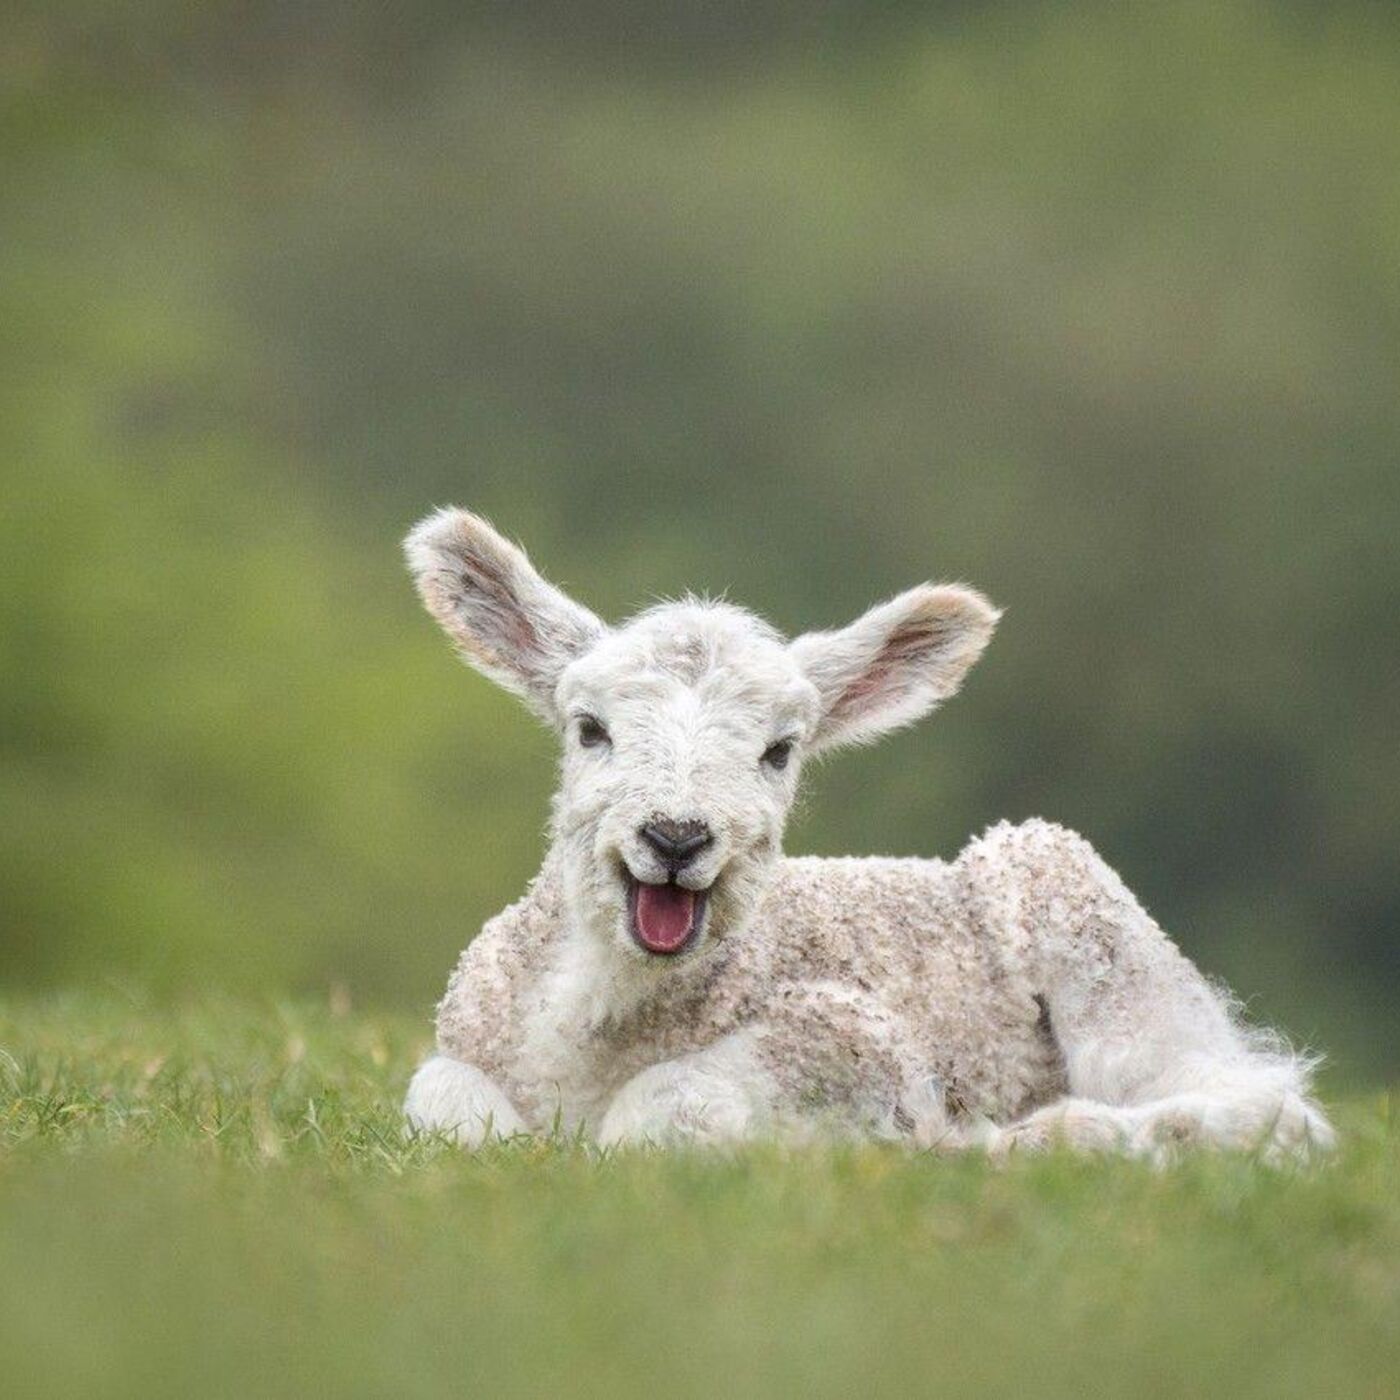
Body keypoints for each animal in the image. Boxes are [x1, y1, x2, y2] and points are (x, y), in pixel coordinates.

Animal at [401, 508, 1334, 1161]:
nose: (675, 838)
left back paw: (1060, 1138)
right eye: (589, 729)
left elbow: (657, 1111)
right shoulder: (461, 1045)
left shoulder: (849, 1036)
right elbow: (444, 1105)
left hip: (1081, 910)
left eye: (781, 750)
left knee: (1263, 1106)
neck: (589, 1031)